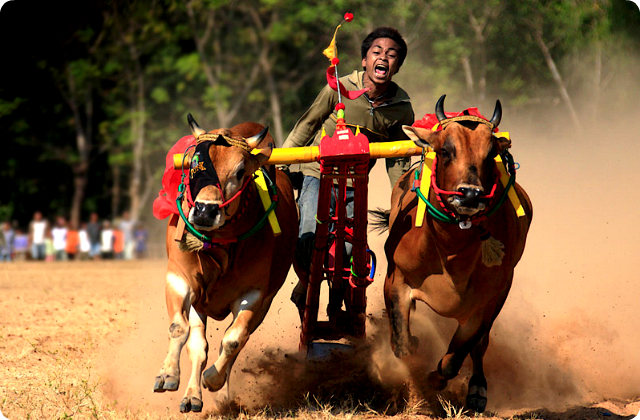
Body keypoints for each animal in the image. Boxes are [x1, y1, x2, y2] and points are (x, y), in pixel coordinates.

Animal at [152, 116, 298, 412]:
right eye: (195, 165)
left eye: (240, 171)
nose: (205, 211)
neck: (220, 247)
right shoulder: (180, 279)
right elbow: (180, 329)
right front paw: (168, 374)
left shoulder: (254, 295)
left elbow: (232, 341)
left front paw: (214, 380)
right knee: (198, 346)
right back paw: (192, 396)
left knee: (236, 342)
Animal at [378, 96, 532, 414]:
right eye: (446, 150)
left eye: (491, 154)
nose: (470, 194)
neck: (451, 255)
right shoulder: (396, 280)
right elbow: (402, 344)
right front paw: (414, 349)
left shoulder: (488, 301)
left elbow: (456, 356)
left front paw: (435, 380)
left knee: (480, 347)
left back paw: (477, 389)